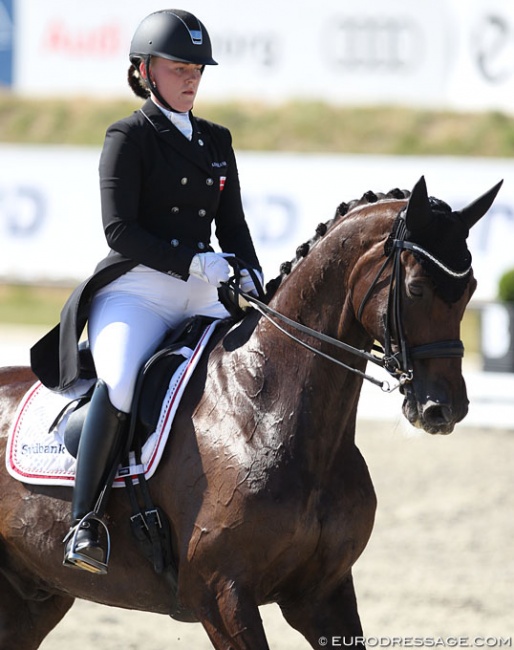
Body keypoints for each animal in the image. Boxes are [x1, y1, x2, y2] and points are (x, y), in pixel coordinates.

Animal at [0, 175, 500, 644]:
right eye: (415, 289)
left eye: (471, 288)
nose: (443, 409)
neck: (265, 412)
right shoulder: (220, 596)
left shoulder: (323, 593)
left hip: (33, 599)